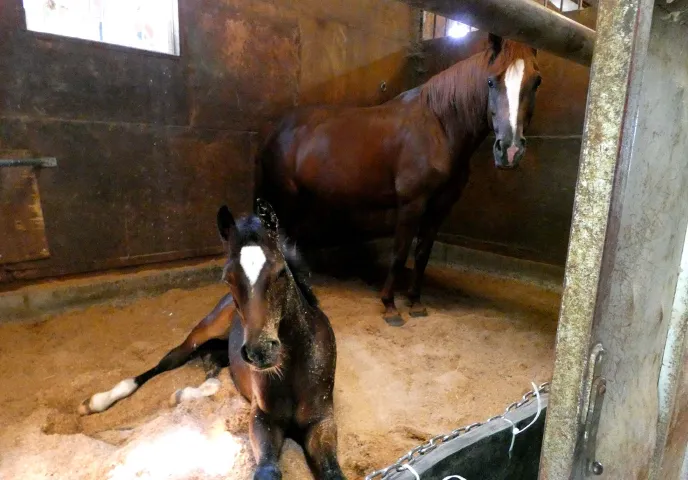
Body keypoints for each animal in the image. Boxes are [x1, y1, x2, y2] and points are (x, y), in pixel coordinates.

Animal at [79, 201, 346, 480]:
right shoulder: (262, 419)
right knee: (170, 360)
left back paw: (184, 393)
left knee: (211, 368)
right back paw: (96, 402)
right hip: (203, 331)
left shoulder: (322, 420)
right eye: (227, 277)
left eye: (281, 272)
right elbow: (267, 470)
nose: (261, 351)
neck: (293, 365)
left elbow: (333, 472)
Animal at [255, 34, 541, 326]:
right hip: (285, 198)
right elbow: (400, 253)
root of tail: (276, 129)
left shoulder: (440, 206)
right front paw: (390, 306)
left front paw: (415, 302)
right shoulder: (412, 204)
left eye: (536, 82)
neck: (438, 127)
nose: (510, 150)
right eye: (491, 81)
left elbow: (422, 254)